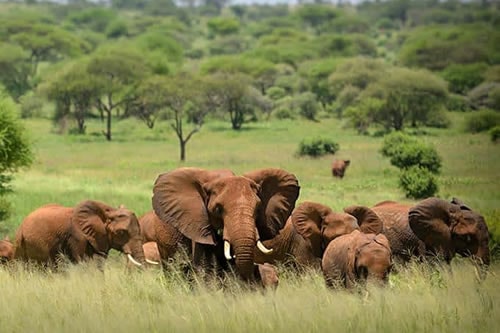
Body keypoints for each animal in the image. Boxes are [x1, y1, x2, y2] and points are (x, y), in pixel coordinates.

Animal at [13, 200, 146, 268]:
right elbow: (84, 263)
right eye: (121, 232)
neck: (108, 210)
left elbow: (99, 263)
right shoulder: (76, 237)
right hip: (21, 243)